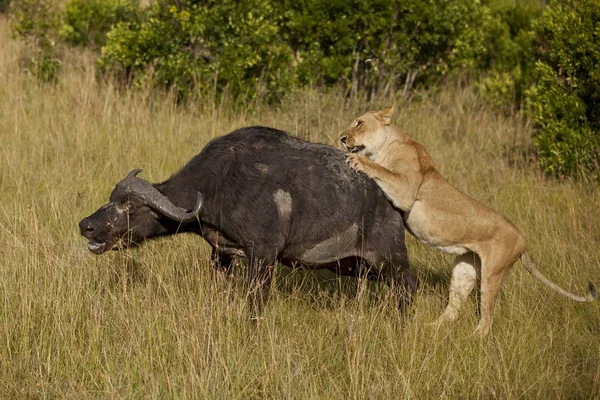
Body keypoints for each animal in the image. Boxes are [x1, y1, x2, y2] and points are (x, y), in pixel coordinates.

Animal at [78, 126, 418, 314]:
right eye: (110, 198)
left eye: (130, 206)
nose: (86, 226)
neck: (219, 185)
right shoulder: (221, 254)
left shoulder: (263, 254)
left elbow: (255, 304)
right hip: (355, 266)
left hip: (390, 257)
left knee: (408, 287)